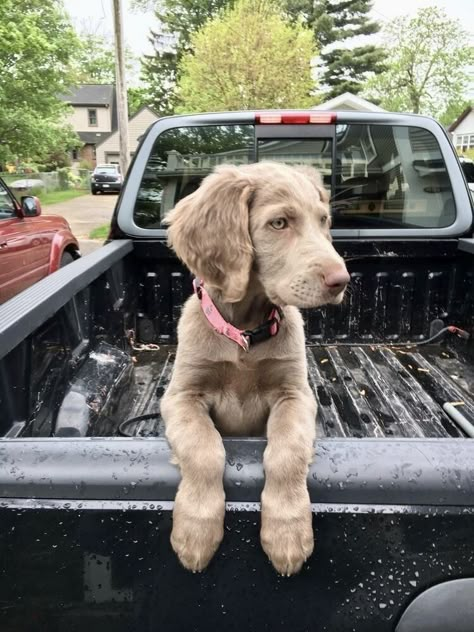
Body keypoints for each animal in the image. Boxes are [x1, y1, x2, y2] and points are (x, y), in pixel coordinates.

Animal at [161, 162, 350, 572]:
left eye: (323, 220)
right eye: (279, 223)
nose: (341, 281)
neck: (245, 335)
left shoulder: (295, 395)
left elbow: (286, 453)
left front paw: (287, 533)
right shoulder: (181, 397)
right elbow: (204, 448)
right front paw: (196, 531)